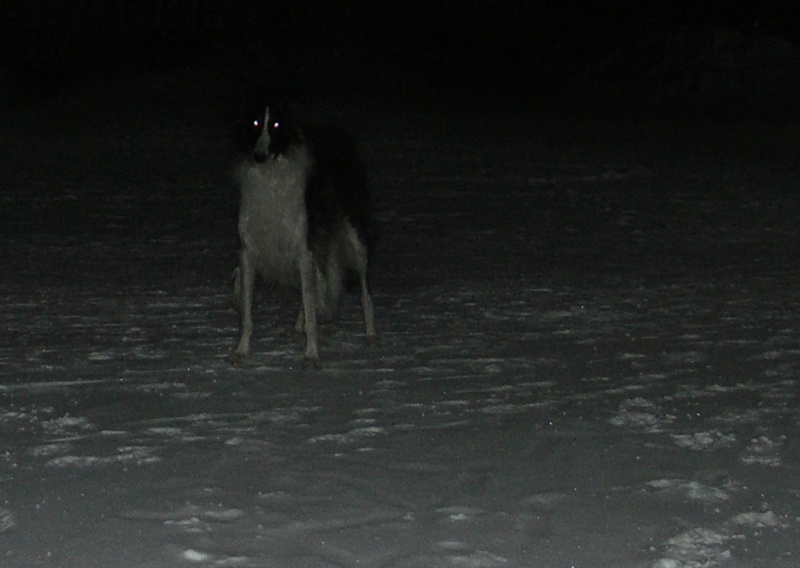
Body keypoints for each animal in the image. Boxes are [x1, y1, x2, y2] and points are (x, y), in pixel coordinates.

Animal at [225, 103, 376, 368]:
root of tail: (337, 132)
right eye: (255, 122)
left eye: (276, 124)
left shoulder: (303, 250)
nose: (259, 156)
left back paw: (370, 334)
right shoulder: (249, 251)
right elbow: (247, 314)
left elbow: (310, 302)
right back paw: (298, 327)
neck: (271, 177)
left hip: (354, 238)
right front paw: (241, 351)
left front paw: (311, 355)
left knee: (364, 291)